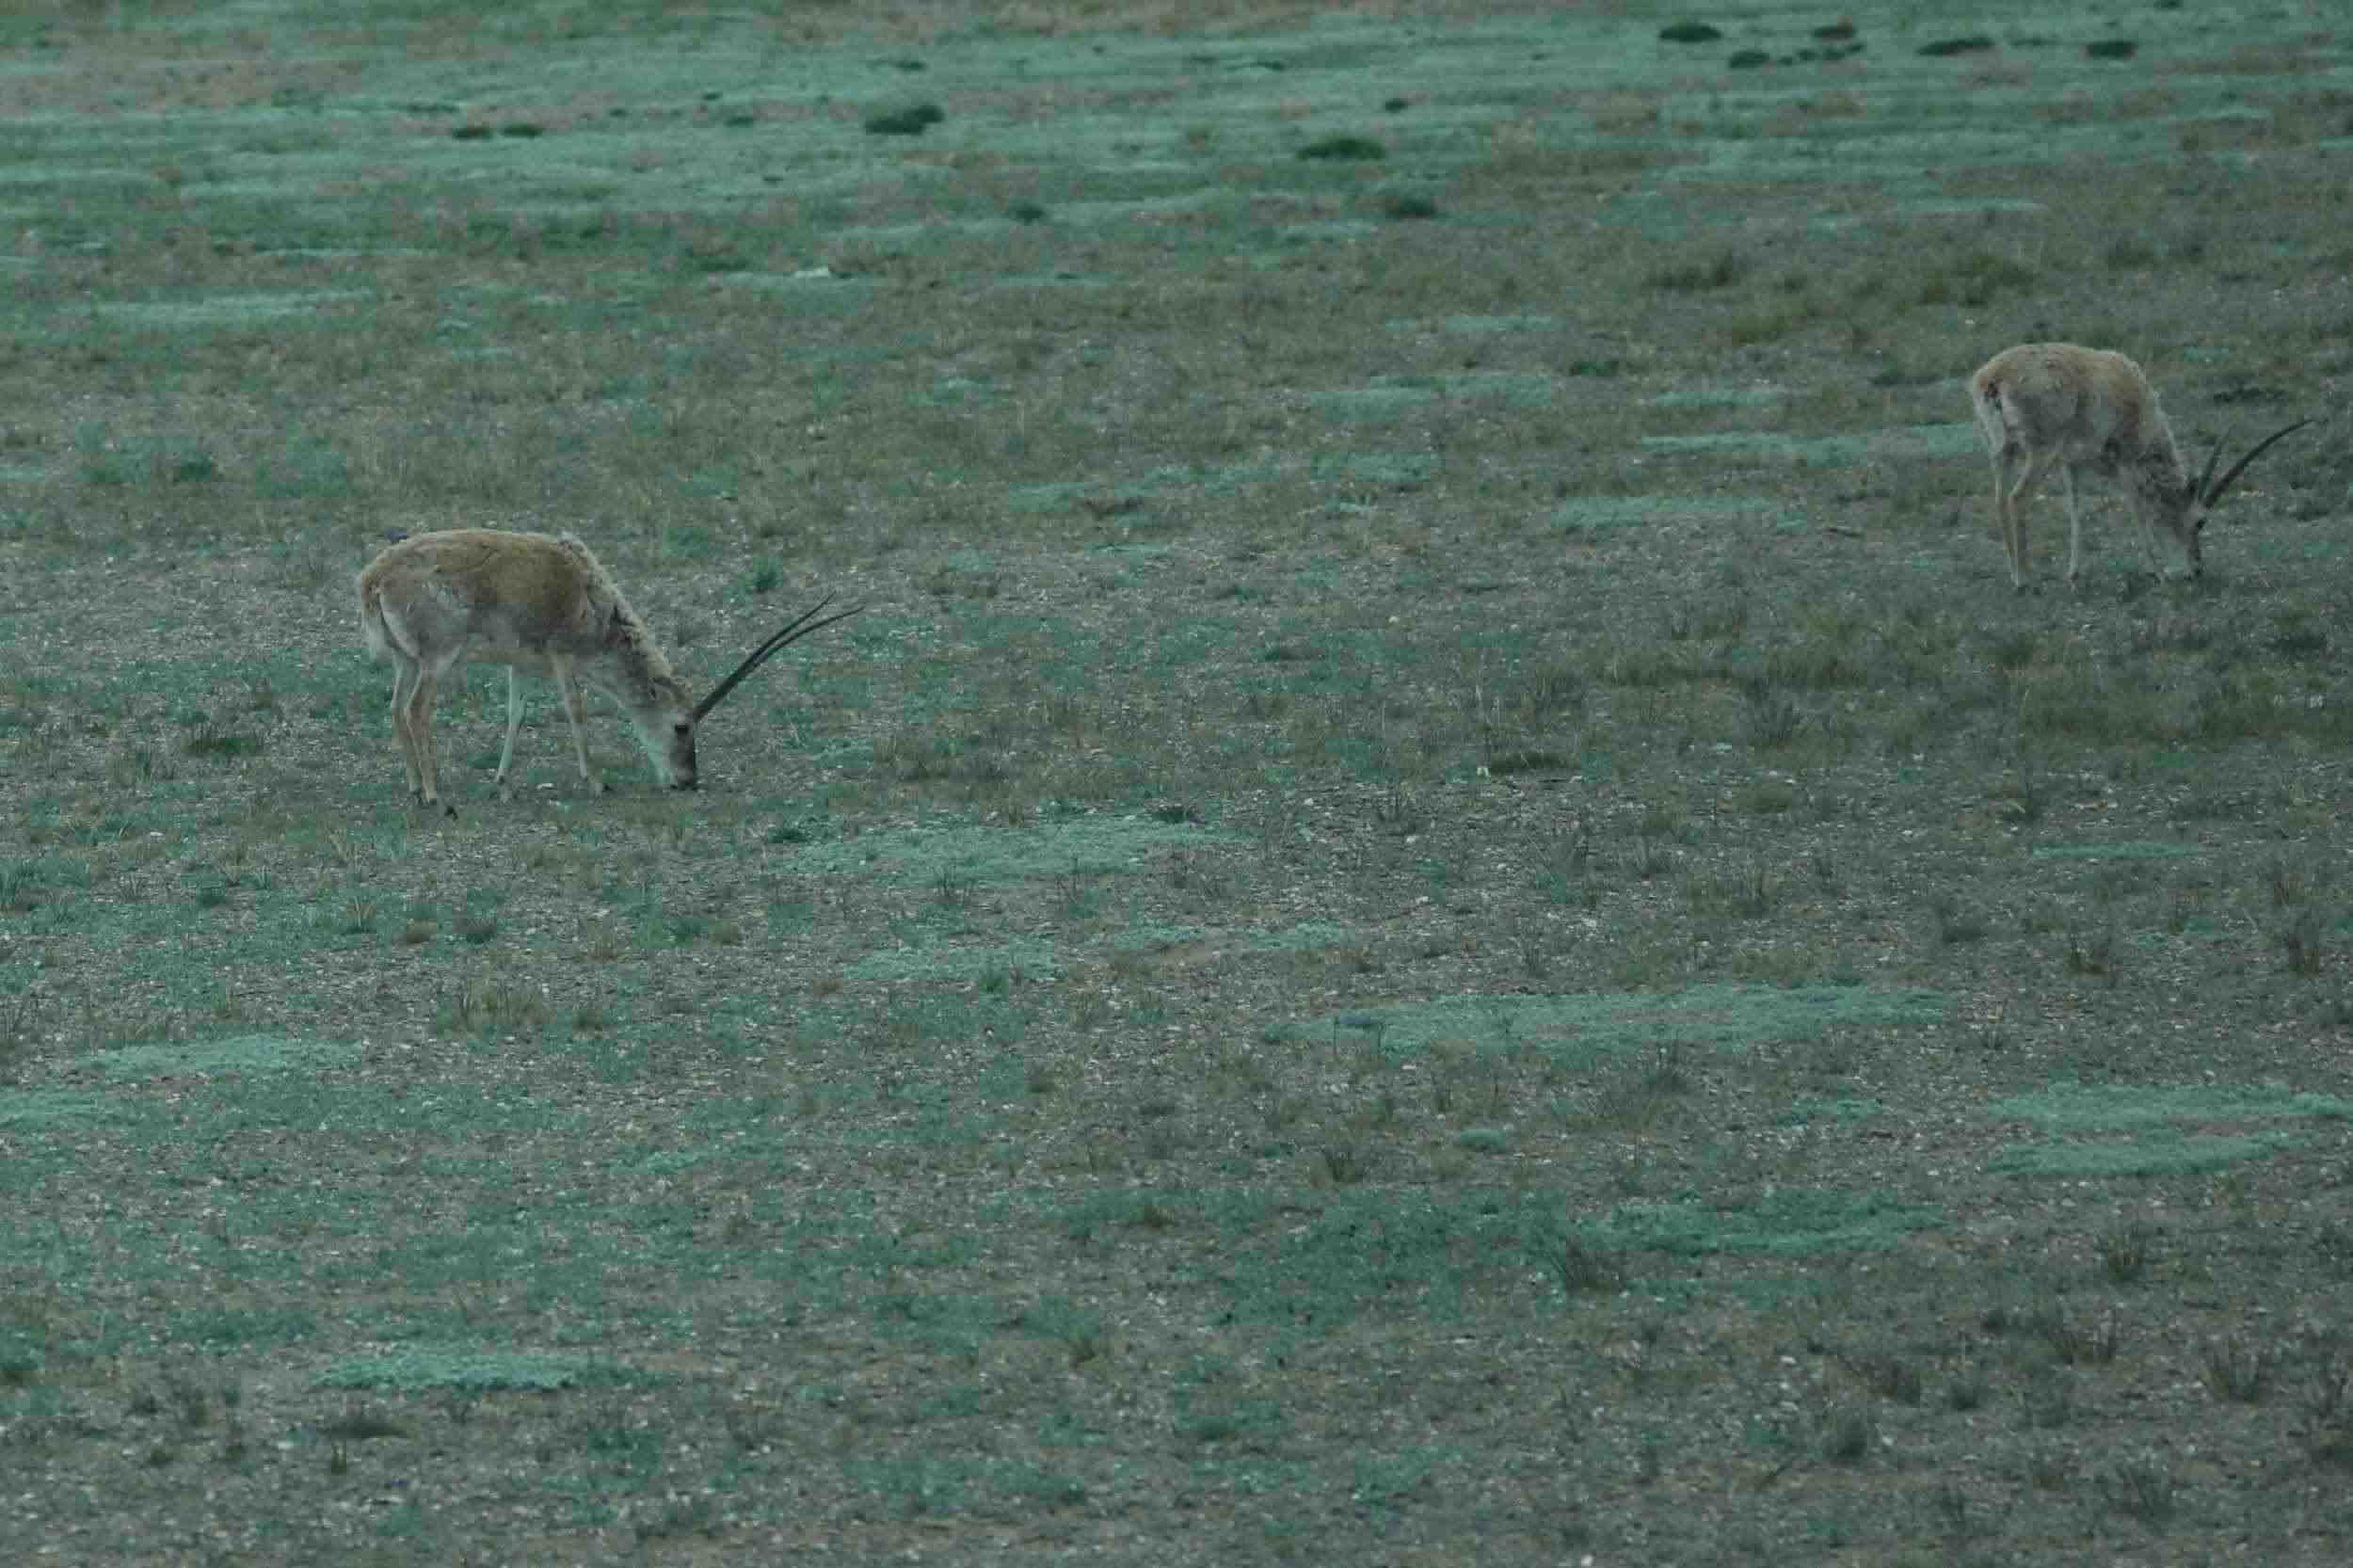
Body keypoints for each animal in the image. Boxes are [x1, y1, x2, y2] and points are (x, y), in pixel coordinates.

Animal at [357, 528, 861, 814]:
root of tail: (374, 580)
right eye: (682, 726)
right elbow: (576, 712)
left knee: (396, 709)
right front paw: (597, 781)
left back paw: (414, 787)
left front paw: (503, 784)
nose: (687, 782)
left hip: (407, 662)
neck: (592, 596)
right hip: (437, 660)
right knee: (417, 711)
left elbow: (516, 716)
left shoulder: (522, 664)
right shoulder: (563, 657)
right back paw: (434, 794)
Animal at [1967, 343, 2310, 592]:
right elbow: (2139, 510)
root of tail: (1995, 378)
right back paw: (2025, 579)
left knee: (1999, 499)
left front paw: (2074, 572)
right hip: (2040, 451)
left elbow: (2076, 510)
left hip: (2002, 451)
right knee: (2017, 498)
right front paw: (2158, 572)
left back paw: (2014, 572)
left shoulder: (2070, 463)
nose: (2196, 571)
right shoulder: (2125, 460)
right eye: (2200, 521)